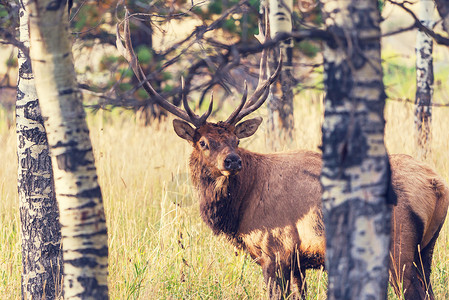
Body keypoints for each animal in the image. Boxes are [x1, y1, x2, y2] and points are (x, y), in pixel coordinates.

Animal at [117, 14, 446, 300]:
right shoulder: (298, 261)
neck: (239, 211)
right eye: (203, 142)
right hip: (426, 249)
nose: (232, 160)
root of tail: (437, 185)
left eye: (235, 140)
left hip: (398, 247)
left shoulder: (275, 250)